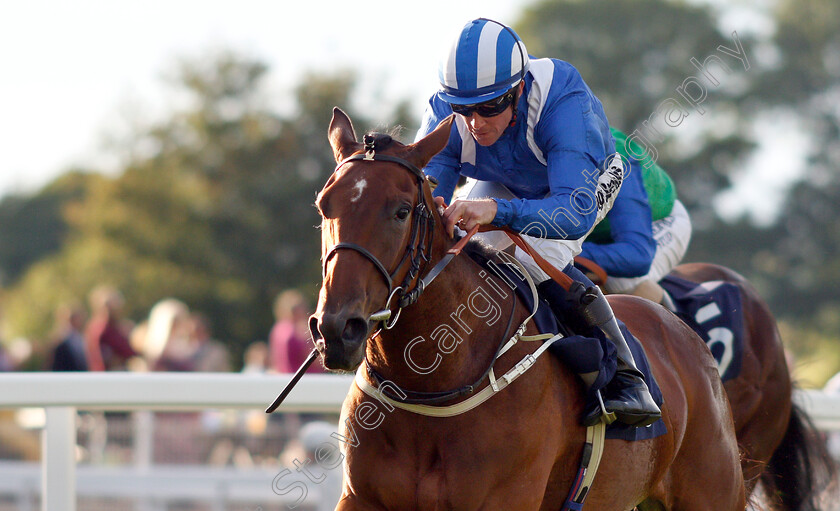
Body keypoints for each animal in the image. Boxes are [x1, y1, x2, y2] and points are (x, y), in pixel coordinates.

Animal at [312, 109, 744, 511]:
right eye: (323, 206)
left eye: (401, 211)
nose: (337, 329)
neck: (430, 389)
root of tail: (685, 334)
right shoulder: (360, 497)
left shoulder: (506, 497)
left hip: (712, 491)